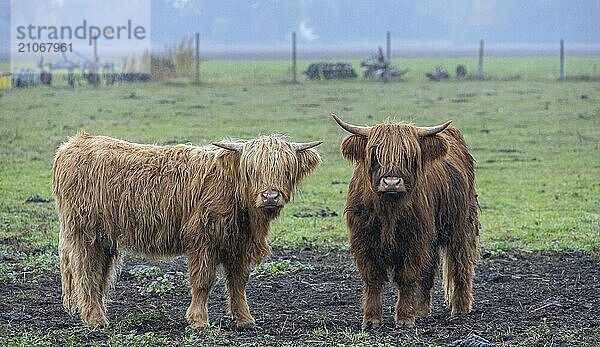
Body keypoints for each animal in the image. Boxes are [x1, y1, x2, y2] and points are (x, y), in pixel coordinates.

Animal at [52, 133, 324, 328]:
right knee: (85, 273)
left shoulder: (237, 245)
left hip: (106, 239)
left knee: (99, 274)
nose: (270, 196)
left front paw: (245, 320)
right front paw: (199, 321)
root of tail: (75, 142)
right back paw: (95, 320)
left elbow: (238, 282)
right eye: (251, 170)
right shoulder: (203, 240)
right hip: (85, 233)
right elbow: (203, 280)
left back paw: (96, 314)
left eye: (286, 170)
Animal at [332, 113, 478, 328]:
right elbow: (373, 279)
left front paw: (405, 318)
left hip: (461, 225)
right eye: (375, 154)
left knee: (461, 264)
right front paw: (371, 319)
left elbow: (406, 278)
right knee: (428, 271)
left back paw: (460, 308)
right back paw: (422, 310)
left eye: (409, 156)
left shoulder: (414, 241)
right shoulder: (364, 241)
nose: (391, 182)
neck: (389, 211)